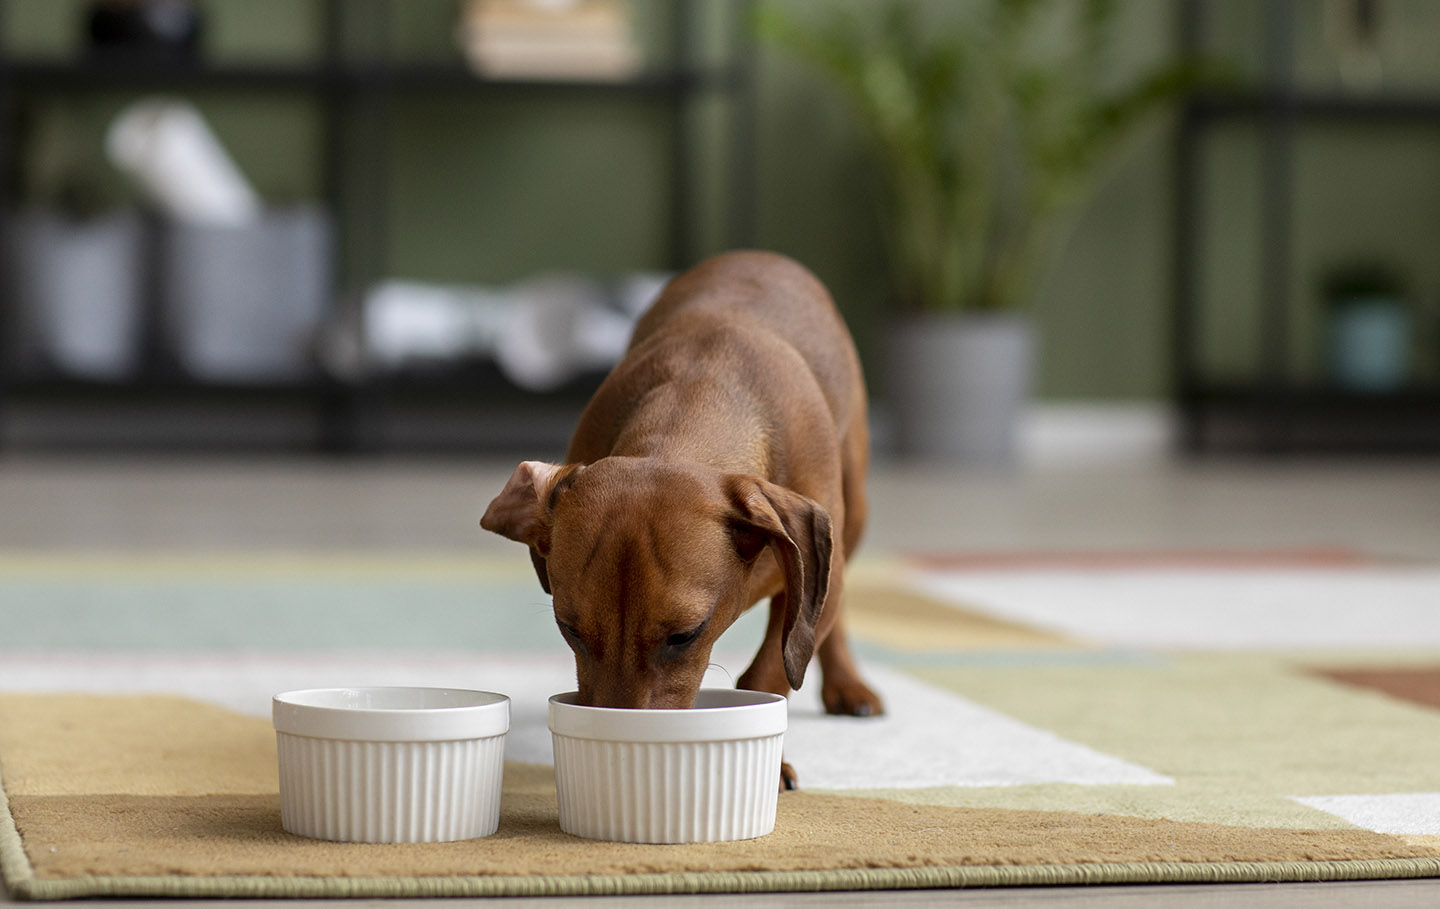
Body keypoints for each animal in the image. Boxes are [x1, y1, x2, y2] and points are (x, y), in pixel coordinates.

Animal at [483, 250, 881, 789]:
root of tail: (760, 255)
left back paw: (847, 683)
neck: (702, 390)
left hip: (852, 513)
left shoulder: (814, 578)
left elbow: (771, 673)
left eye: (684, 636)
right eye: (570, 629)